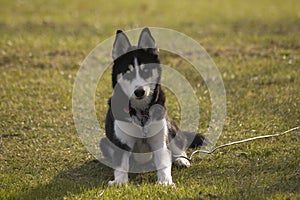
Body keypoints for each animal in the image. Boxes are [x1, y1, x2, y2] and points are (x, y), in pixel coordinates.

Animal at [100, 27, 206, 186]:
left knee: (179, 144)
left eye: (146, 71)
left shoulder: (160, 140)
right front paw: (119, 182)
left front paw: (166, 182)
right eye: (128, 72)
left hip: (169, 127)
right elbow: (121, 165)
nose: (139, 91)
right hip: (104, 143)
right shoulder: (121, 142)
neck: (141, 114)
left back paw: (181, 159)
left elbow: (163, 162)